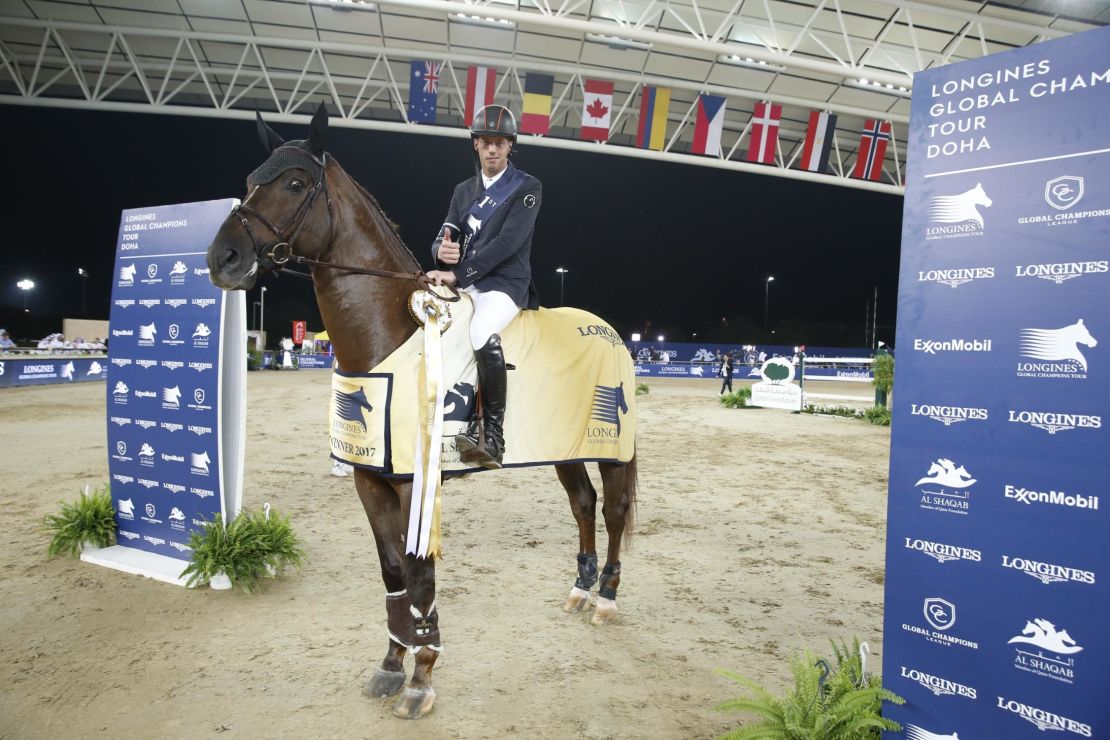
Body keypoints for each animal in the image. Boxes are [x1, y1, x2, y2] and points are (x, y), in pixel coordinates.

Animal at [206, 102, 643, 718]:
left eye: (293, 184)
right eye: (249, 182)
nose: (223, 258)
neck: (389, 336)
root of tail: (607, 331)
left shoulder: (418, 485)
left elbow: (421, 575)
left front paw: (422, 678)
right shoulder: (370, 481)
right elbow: (393, 572)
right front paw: (392, 665)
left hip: (611, 448)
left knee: (613, 511)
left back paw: (605, 597)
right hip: (564, 449)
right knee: (582, 506)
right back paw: (579, 592)